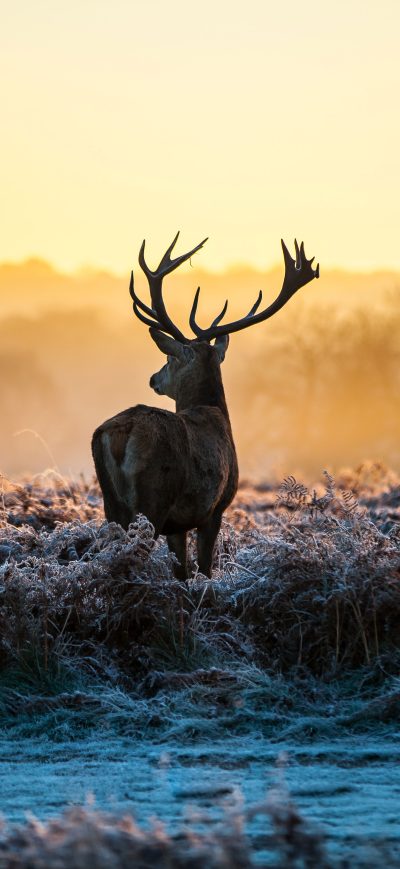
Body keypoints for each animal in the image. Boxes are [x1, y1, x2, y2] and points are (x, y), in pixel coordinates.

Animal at [92, 233, 319, 579]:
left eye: (169, 357)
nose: (153, 378)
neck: (215, 413)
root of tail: (120, 433)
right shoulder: (214, 508)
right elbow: (205, 570)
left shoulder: (178, 524)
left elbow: (182, 572)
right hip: (153, 498)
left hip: (112, 503)